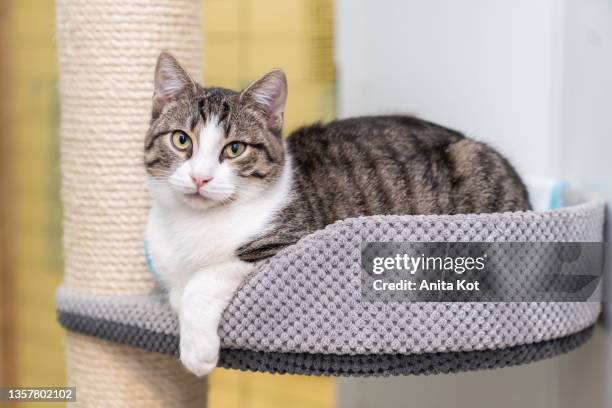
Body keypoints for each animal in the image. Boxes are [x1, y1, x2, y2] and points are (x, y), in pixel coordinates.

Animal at [143, 52, 532, 378]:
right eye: (181, 140)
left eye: (235, 148)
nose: (200, 177)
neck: (194, 224)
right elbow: (177, 292)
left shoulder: (287, 243)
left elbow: (204, 279)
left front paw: (197, 352)